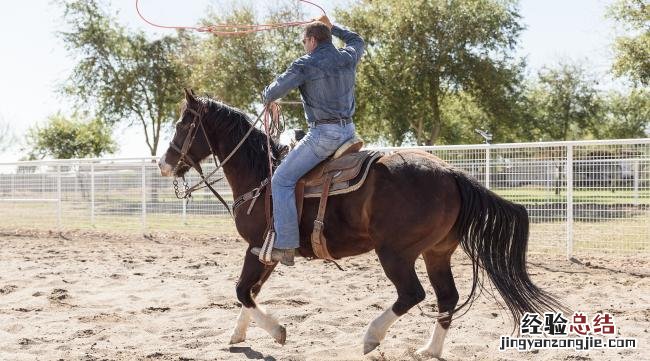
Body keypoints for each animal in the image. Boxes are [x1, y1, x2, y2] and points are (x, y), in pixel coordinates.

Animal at [157, 89, 560, 354]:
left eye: (182, 124)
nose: (163, 163)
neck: (263, 176)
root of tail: (452, 173)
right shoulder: (267, 251)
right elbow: (250, 291)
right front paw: (237, 335)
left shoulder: (257, 247)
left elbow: (243, 290)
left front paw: (277, 332)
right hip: (436, 252)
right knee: (447, 296)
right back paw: (429, 350)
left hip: (396, 253)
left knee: (412, 294)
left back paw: (371, 337)